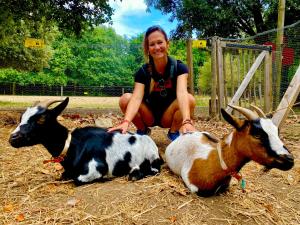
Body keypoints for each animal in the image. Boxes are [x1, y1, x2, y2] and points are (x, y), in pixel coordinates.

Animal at [9, 98, 163, 185]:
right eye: (21, 117)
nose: (12, 138)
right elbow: (63, 176)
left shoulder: (96, 168)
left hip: (151, 159)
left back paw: (135, 174)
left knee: (153, 170)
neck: (72, 145)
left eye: (41, 119)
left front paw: (104, 178)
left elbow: (77, 180)